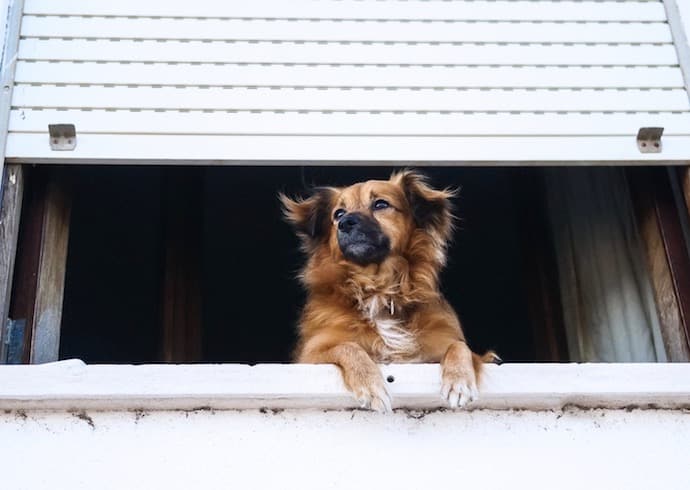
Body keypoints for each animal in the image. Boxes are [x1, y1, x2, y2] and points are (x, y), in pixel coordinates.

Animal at [280, 170, 494, 412]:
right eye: (338, 213)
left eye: (380, 204)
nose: (345, 223)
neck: (378, 287)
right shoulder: (310, 355)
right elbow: (348, 346)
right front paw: (371, 386)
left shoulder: (440, 344)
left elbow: (460, 347)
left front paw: (459, 381)